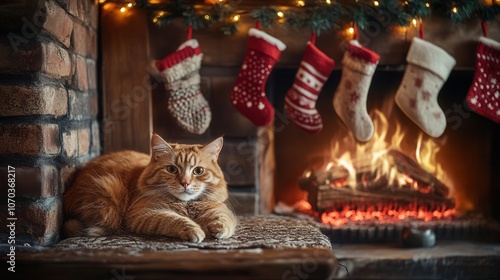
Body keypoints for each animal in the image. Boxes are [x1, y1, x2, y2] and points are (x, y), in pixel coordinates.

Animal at [62, 134, 236, 243]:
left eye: (198, 171)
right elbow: (172, 219)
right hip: (108, 197)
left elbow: (223, 217)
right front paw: (194, 230)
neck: (185, 204)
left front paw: (218, 228)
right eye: (172, 169)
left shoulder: (217, 208)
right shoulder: (144, 214)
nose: (185, 183)